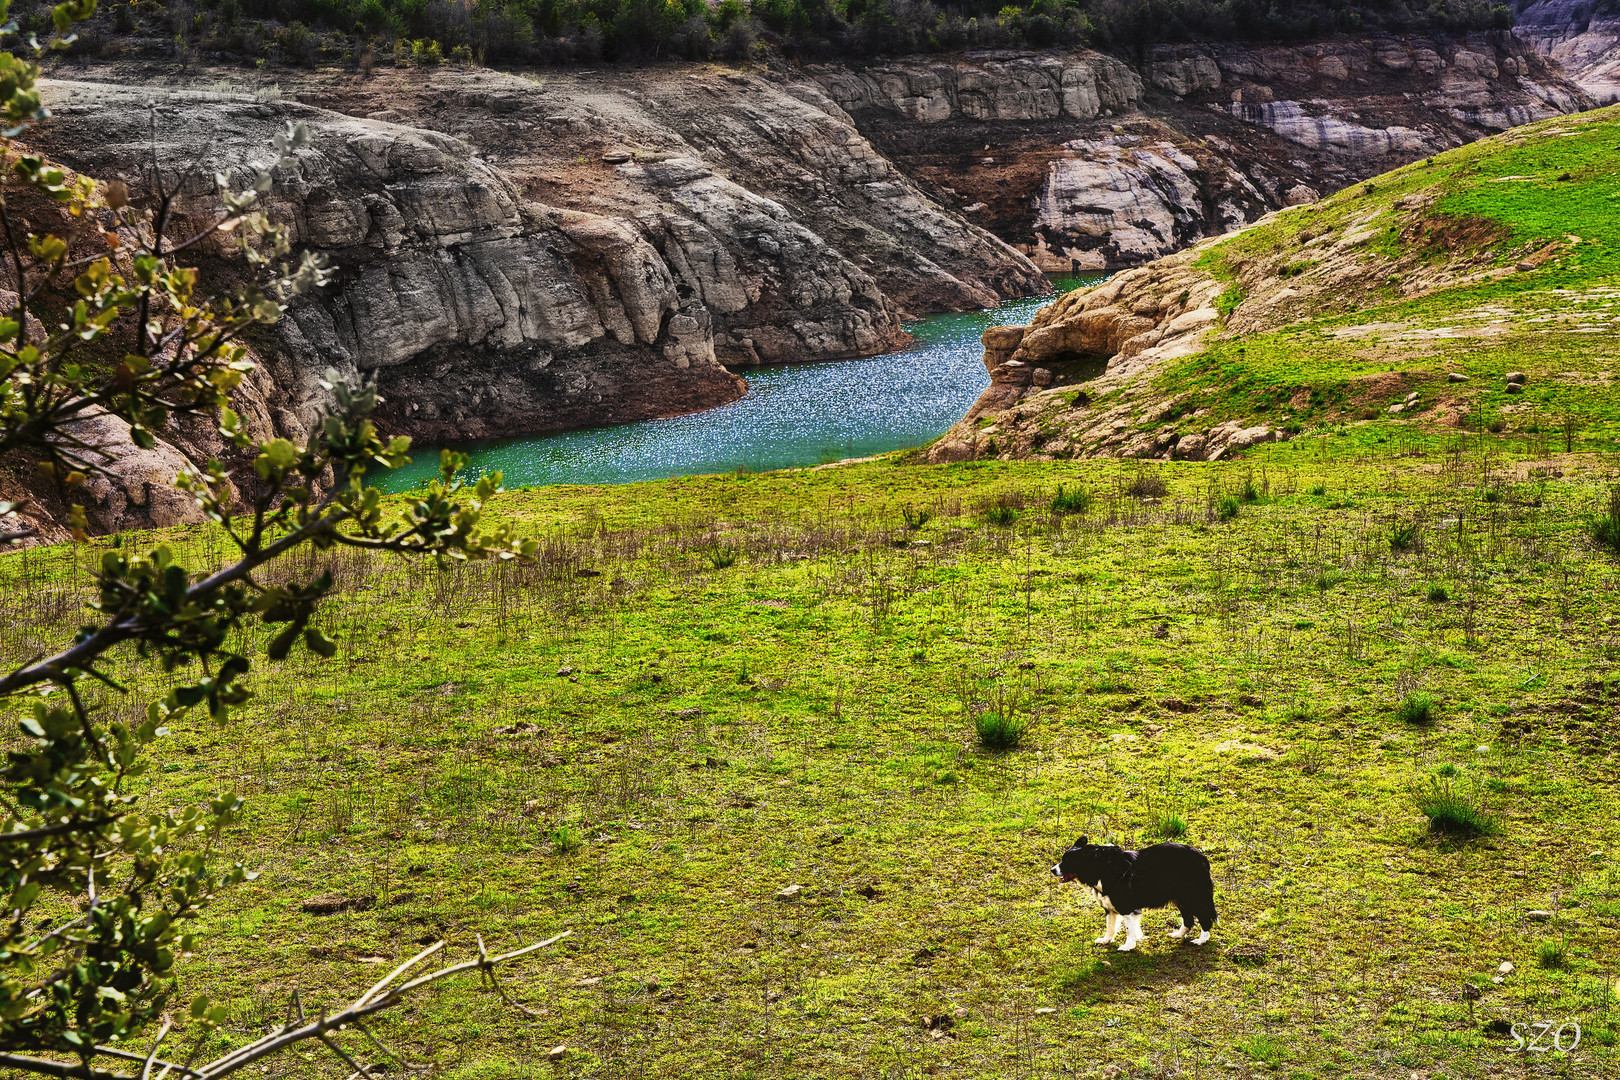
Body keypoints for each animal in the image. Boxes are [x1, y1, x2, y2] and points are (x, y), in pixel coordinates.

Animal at [1049, 841, 1218, 952]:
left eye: (1067, 861)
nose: (1052, 870)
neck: (1100, 868)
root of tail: (1202, 857)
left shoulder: (1126, 906)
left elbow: (1129, 929)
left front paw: (1128, 946)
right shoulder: (1110, 907)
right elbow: (1110, 926)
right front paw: (1105, 940)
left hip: (1193, 896)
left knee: (1205, 919)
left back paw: (1200, 941)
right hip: (1181, 898)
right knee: (1188, 919)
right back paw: (1177, 935)